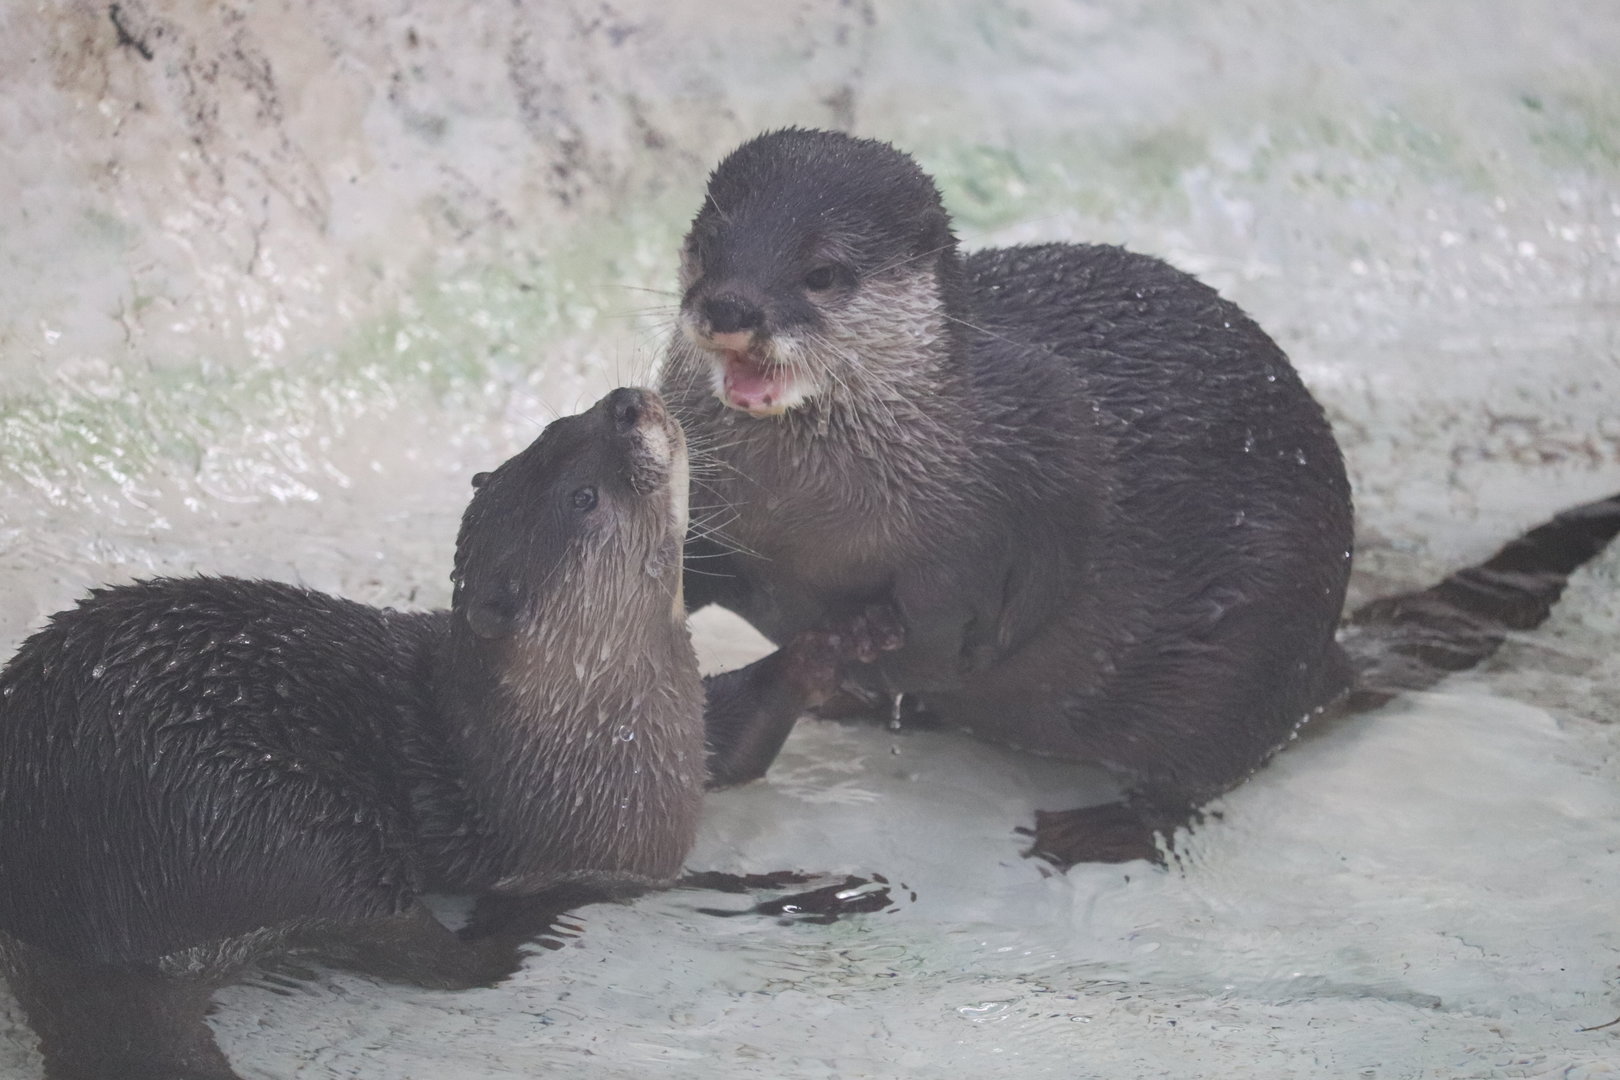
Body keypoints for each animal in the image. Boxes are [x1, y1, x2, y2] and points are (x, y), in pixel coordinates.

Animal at [0, 387, 860, 1080]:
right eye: (584, 497)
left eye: (560, 423)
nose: (625, 403)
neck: (597, 731)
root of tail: (66, 903)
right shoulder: (610, 836)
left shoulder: (688, 734)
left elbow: (738, 737)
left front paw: (829, 649)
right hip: (283, 828)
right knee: (425, 952)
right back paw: (522, 937)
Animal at [660, 127, 1620, 867]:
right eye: (703, 248)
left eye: (823, 271)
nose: (730, 306)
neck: (814, 515)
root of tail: (1323, 662)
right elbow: (722, 569)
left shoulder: (1040, 470)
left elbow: (985, 614)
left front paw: (868, 630)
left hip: (1249, 653)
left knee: (1203, 775)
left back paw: (1102, 826)